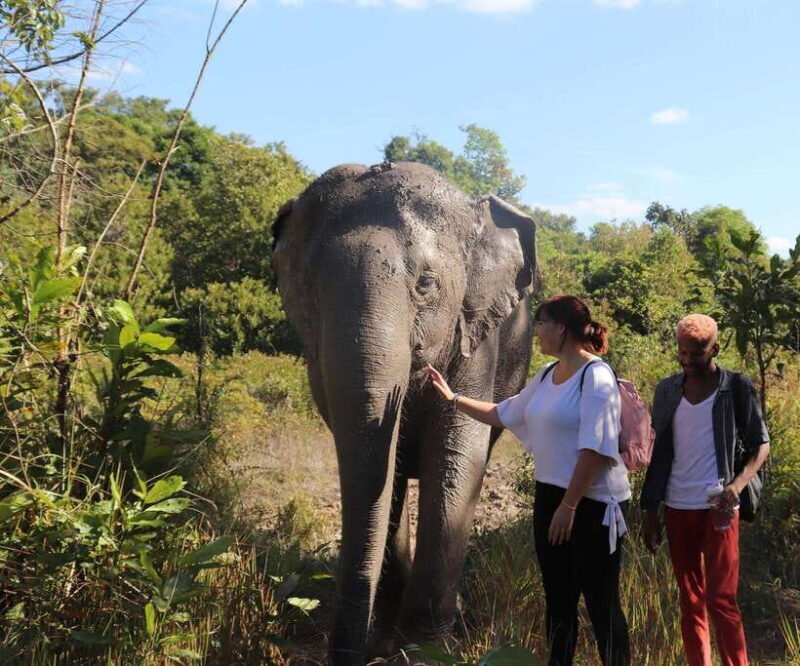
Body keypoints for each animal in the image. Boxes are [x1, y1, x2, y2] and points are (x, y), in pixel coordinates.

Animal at [271, 161, 537, 664]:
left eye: (426, 285)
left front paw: (426, 649)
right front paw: (387, 638)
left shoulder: (478, 339)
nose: (347, 655)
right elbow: (381, 468)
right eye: (310, 291)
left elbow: (457, 455)